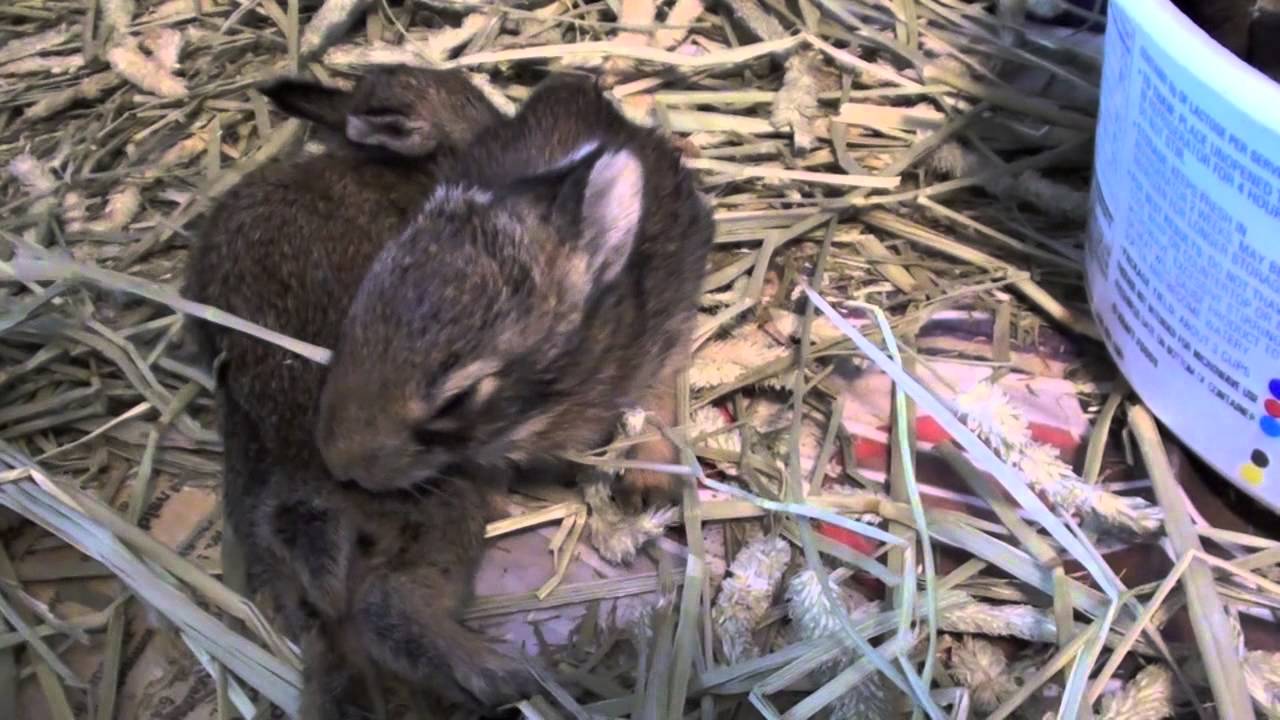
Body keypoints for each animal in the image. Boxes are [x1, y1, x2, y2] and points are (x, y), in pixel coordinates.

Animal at [183, 65, 538, 715]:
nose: (509, 127)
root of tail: (303, 499)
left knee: (330, 640)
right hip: (438, 507)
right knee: (390, 607)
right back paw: (502, 675)